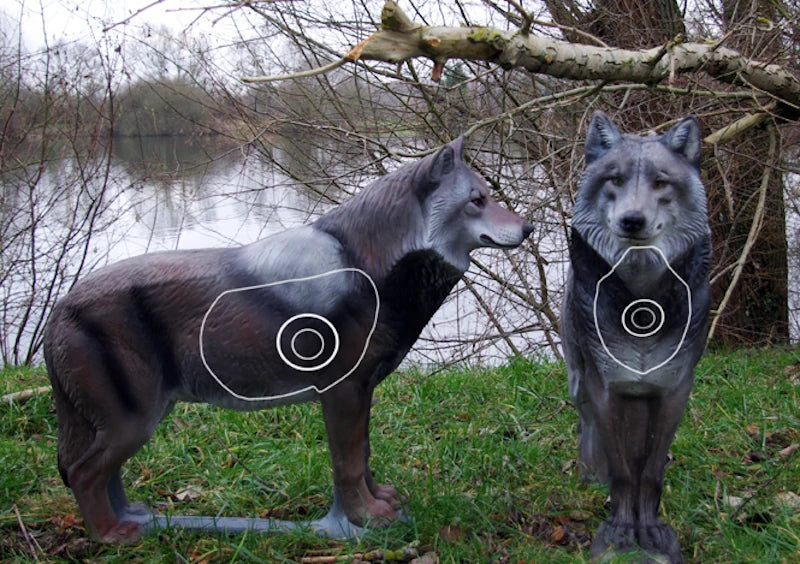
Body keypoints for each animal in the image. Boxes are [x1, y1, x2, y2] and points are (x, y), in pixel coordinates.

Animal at [44, 136, 532, 543]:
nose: (529, 229)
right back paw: (111, 535)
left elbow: (365, 455)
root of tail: (59, 308)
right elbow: (348, 464)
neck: (371, 266)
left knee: (102, 474)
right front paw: (364, 520)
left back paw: (134, 517)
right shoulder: (342, 393)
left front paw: (380, 504)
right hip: (133, 421)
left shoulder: (362, 392)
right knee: (84, 473)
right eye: (477, 200)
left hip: (138, 418)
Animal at [561, 112, 711, 563]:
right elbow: (624, 472)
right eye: (615, 179)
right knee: (588, 430)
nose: (632, 220)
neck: (641, 300)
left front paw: (653, 533)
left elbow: (650, 473)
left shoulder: (672, 389)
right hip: (578, 382)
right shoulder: (606, 386)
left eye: (661, 183)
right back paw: (591, 474)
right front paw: (619, 533)